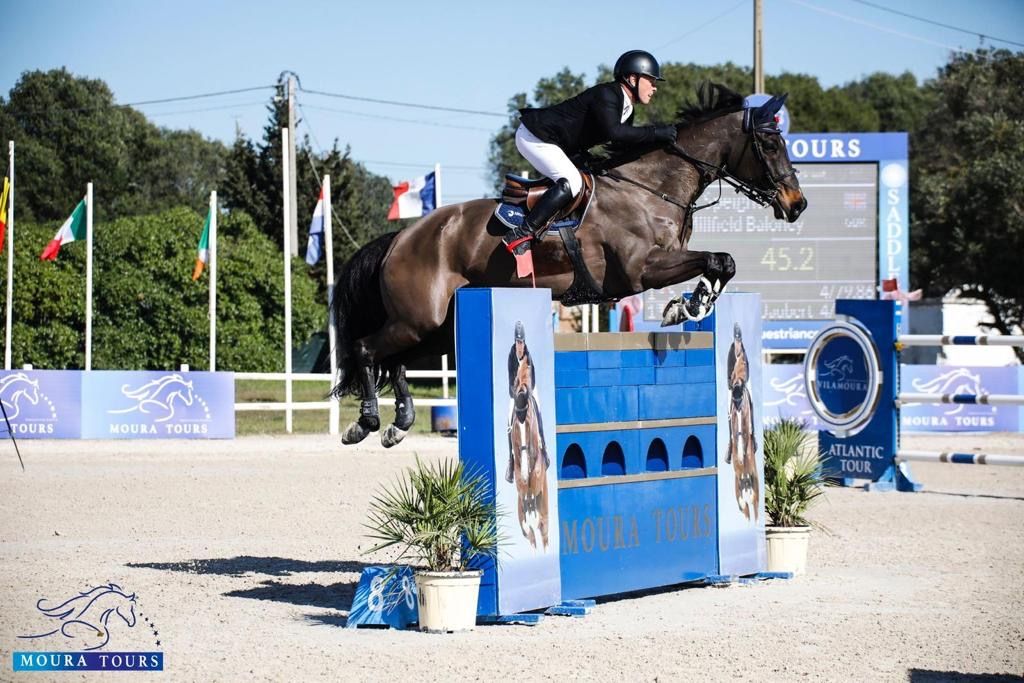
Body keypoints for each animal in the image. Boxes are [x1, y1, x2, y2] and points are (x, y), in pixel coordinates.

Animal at [330, 82, 806, 447]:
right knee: (367, 349)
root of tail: (401, 238)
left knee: (395, 358)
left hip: (436, 328)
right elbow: (717, 259)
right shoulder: (642, 269)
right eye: (769, 144)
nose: (797, 204)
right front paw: (687, 306)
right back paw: (366, 422)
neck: (652, 188)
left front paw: (692, 304)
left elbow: (722, 263)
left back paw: (399, 424)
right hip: (419, 318)